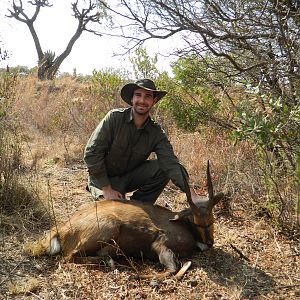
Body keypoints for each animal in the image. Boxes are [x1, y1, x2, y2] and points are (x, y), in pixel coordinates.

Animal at [25, 162, 223, 278]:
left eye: (212, 221)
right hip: (109, 228)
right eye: (197, 222)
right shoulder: (160, 245)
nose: (210, 243)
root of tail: (62, 229)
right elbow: (172, 269)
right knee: (70, 257)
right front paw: (141, 277)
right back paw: (112, 262)